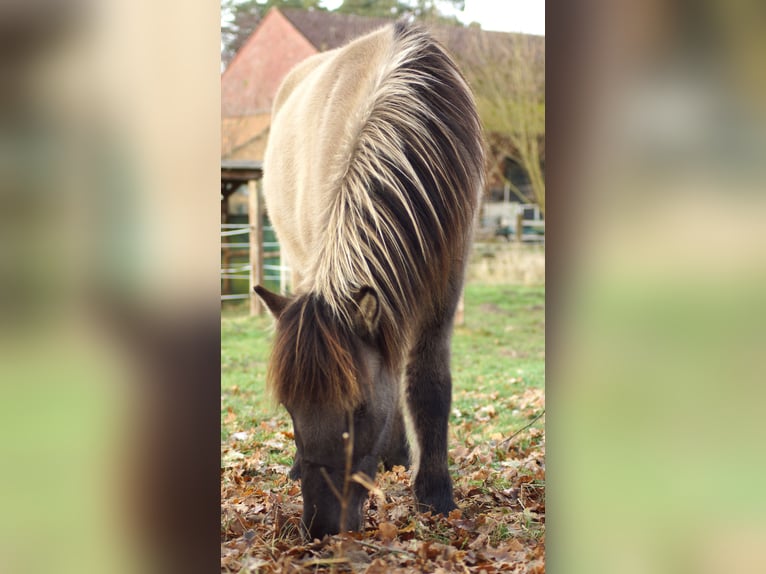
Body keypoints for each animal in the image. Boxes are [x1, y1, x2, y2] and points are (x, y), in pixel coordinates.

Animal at [254, 20, 485, 540]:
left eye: (358, 409)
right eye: (290, 410)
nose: (321, 527)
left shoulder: (444, 285)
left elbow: (427, 382)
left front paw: (434, 493)